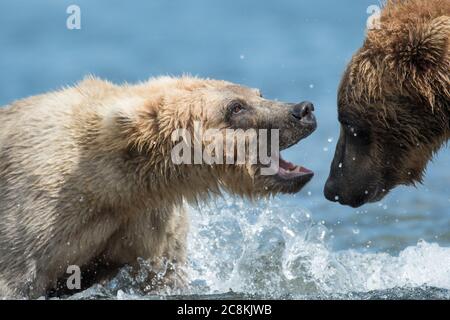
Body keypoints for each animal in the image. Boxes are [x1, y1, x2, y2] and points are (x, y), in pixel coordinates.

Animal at [0, 75, 316, 298]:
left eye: (258, 94)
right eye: (236, 106)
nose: (303, 109)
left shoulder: (149, 218)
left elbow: (164, 273)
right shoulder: (37, 211)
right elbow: (16, 275)